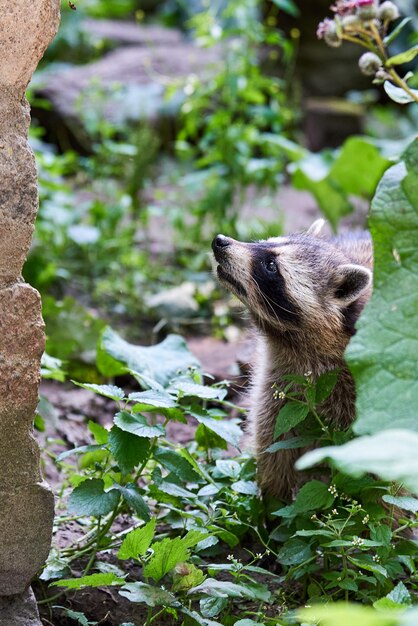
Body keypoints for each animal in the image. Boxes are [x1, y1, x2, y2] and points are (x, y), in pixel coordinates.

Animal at [212, 218, 372, 498]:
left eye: (271, 265)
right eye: (264, 242)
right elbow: (275, 449)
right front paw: (273, 502)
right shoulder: (279, 383)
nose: (219, 241)